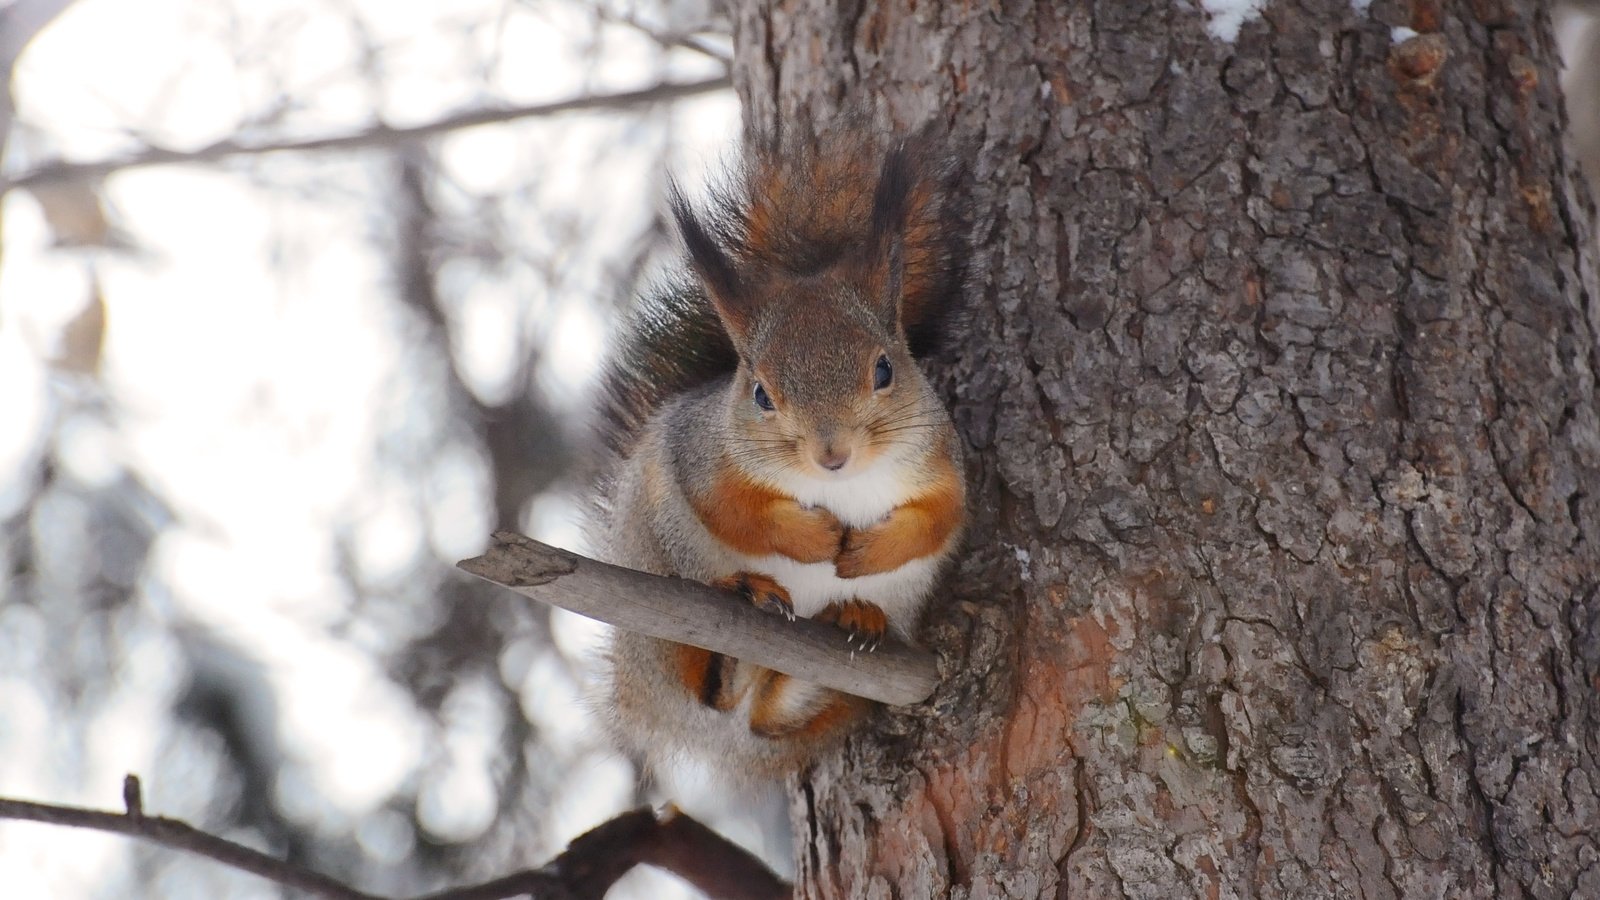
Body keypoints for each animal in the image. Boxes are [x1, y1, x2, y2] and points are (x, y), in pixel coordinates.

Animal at [585, 122, 960, 781]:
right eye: (760, 392)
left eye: (885, 369)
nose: (831, 454)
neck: (839, 487)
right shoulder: (702, 459)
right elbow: (734, 511)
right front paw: (817, 541)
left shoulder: (940, 462)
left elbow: (940, 519)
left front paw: (865, 553)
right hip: (660, 598)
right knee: (707, 692)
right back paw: (739, 627)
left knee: (766, 716)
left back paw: (848, 621)